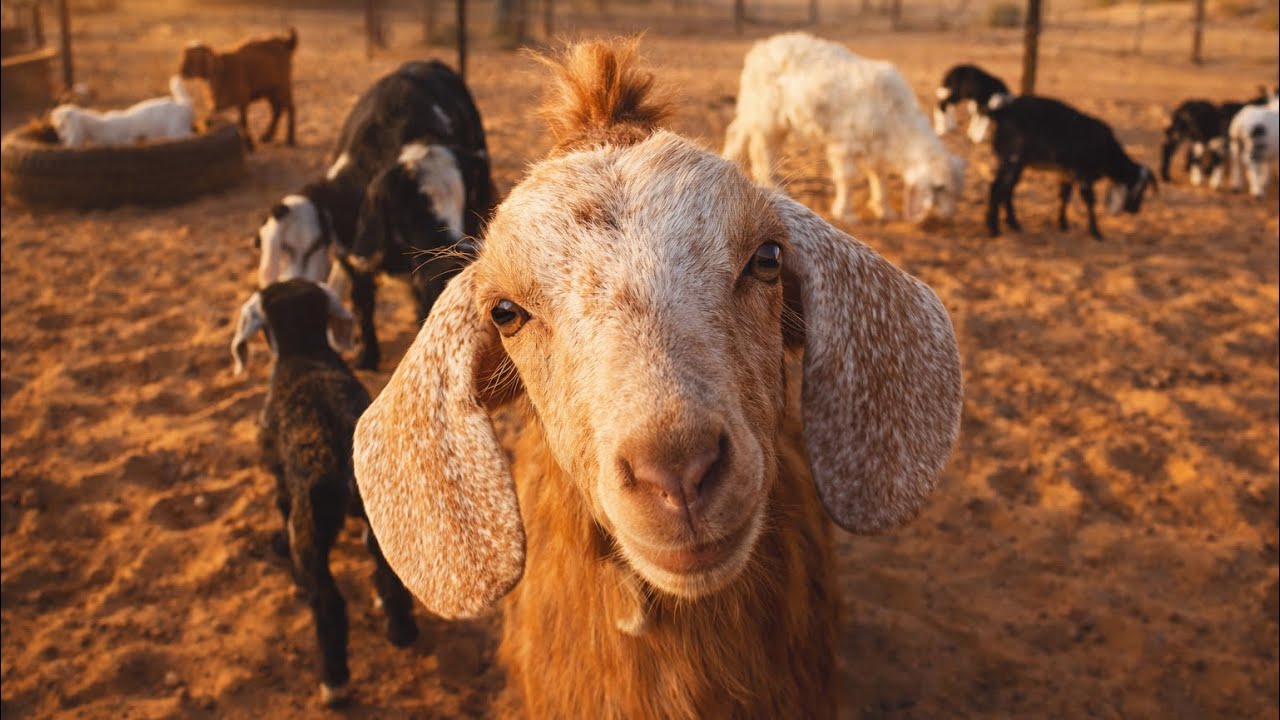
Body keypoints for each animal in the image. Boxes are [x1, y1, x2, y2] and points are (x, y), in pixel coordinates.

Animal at [49, 76, 194, 148]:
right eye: (57, 127)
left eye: (63, 125)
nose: (62, 139)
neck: (100, 126)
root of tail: (184, 105)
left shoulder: (123, 141)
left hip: (175, 130)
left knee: (187, 135)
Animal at [230, 279, 418, 706]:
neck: (306, 355)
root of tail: (342, 458)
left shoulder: (280, 475)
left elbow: (281, 506)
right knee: (390, 572)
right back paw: (401, 629)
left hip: (312, 529)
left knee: (328, 603)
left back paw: (333, 681)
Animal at [253, 59, 494, 370]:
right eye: (409, 211)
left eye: (466, 201)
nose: (452, 262)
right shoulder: (351, 252)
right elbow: (363, 303)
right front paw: (367, 356)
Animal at [723, 32, 965, 225]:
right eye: (940, 188)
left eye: (956, 193)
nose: (948, 218)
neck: (895, 115)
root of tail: (761, 48)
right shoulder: (845, 141)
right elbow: (847, 177)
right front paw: (846, 213)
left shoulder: (875, 144)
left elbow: (878, 175)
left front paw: (884, 209)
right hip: (767, 113)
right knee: (762, 149)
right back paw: (773, 186)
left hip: (755, 108)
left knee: (739, 133)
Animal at [985, 95, 1157, 240]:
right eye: (1139, 188)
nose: (1136, 210)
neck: (1106, 148)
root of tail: (1001, 112)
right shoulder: (1084, 175)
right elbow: (1089, 201)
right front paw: (1096, 232)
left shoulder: (1067, 173)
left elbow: (1064, 196)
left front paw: (1063, 225)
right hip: (1011, 162)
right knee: (997, 189)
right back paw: (994, 230)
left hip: (1016, 164)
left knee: (1007, 191)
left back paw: (1013, 224)